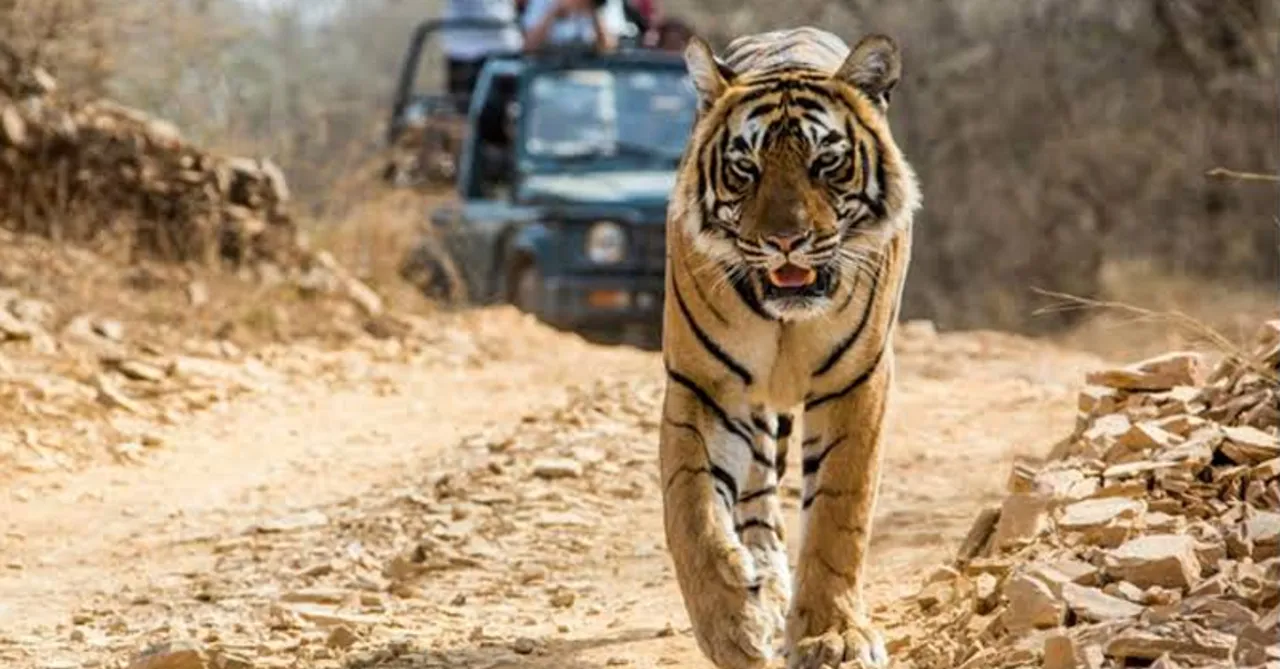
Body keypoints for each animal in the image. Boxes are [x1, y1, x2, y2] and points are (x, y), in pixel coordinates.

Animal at [660, 26, 921, 669]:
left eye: (825, 162)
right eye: (745, 168)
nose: (785, 241)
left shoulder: (857, 381)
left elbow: (838, 513)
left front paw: (833, 635)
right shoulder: (703, 384)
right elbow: (692, 511)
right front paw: (732, 628)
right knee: (755, 493)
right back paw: (764, 585)